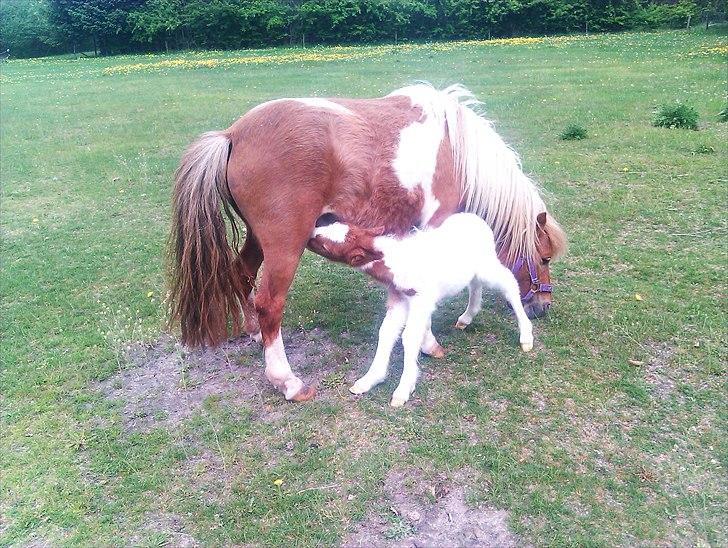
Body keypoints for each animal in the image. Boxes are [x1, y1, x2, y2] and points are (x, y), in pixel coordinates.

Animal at [308, 211, 536, 406]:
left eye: (326, 246)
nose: (310, 233)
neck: (396, 264)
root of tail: (476, 219)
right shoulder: (399, 299)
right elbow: (386, 332)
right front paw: (369, 380)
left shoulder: (422, 301)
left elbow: (410, 337)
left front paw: (403, 390)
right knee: (475, 284)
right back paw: (466, 318)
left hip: (488, 265)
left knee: (509, 284)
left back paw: (526, 337)